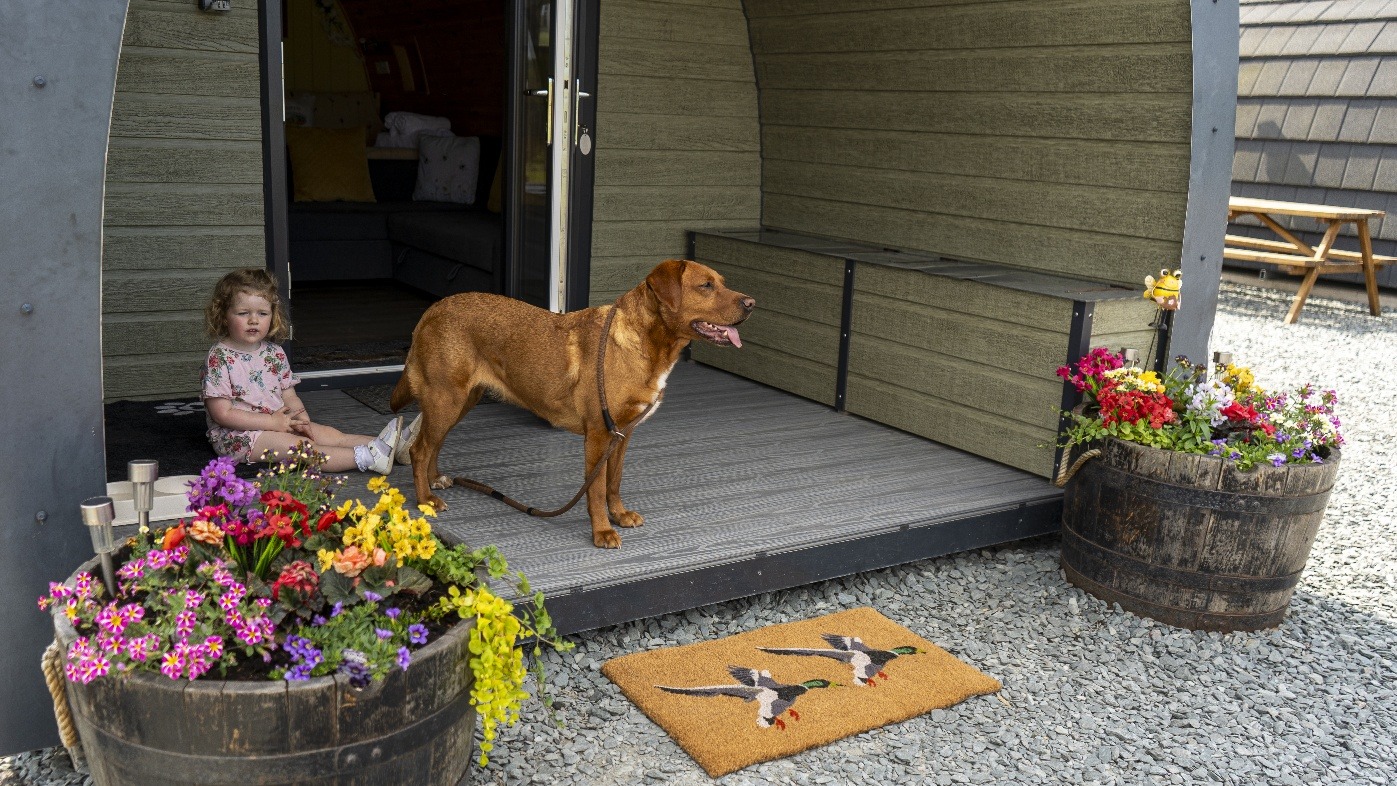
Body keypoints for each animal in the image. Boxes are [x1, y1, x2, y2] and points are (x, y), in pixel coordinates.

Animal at [388, 258, 759, 547]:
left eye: (722, 282)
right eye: (706, 285)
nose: (752, 303)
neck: (646, 344)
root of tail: (433, 309)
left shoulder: (623, 435)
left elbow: (613, 482)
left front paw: (618, 514)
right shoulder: (598, 434)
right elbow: (595, 490)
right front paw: (602, 531)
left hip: (461, 400)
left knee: (434, 443)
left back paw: (436, 480)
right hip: (447, 398)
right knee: (420, 449)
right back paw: (426, 500)